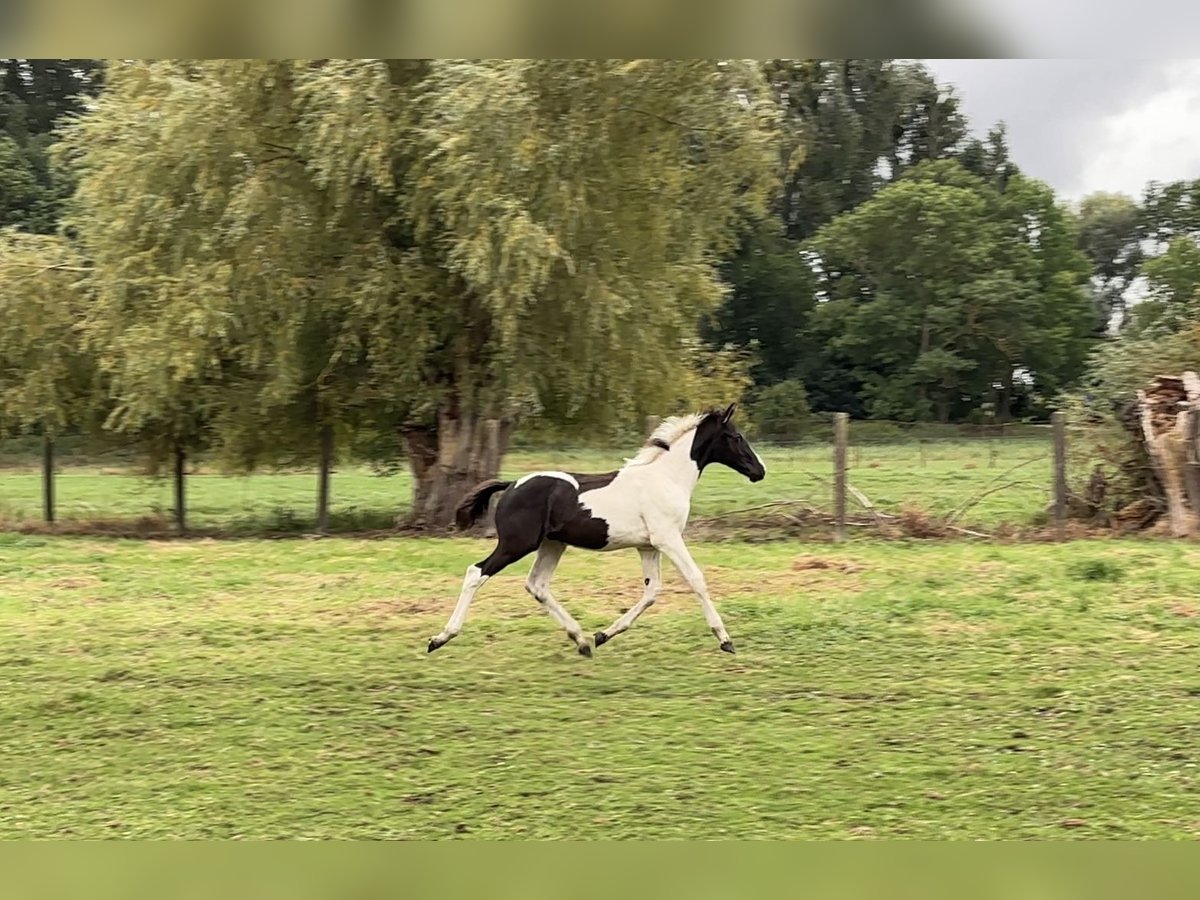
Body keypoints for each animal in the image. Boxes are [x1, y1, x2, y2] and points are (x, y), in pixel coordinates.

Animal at [432, 405, 768, 657]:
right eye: (736, 436)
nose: (759, 471)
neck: (665, 478)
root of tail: (512, 484)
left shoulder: (648, 546)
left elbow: (651, 592)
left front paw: (603, 635)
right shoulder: (668, 539)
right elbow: (696, 579)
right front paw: (726, 640)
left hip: (552, 544)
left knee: (537, 585)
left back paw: (581, 641)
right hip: (517, 544)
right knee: (476, 572)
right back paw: (440, 638)